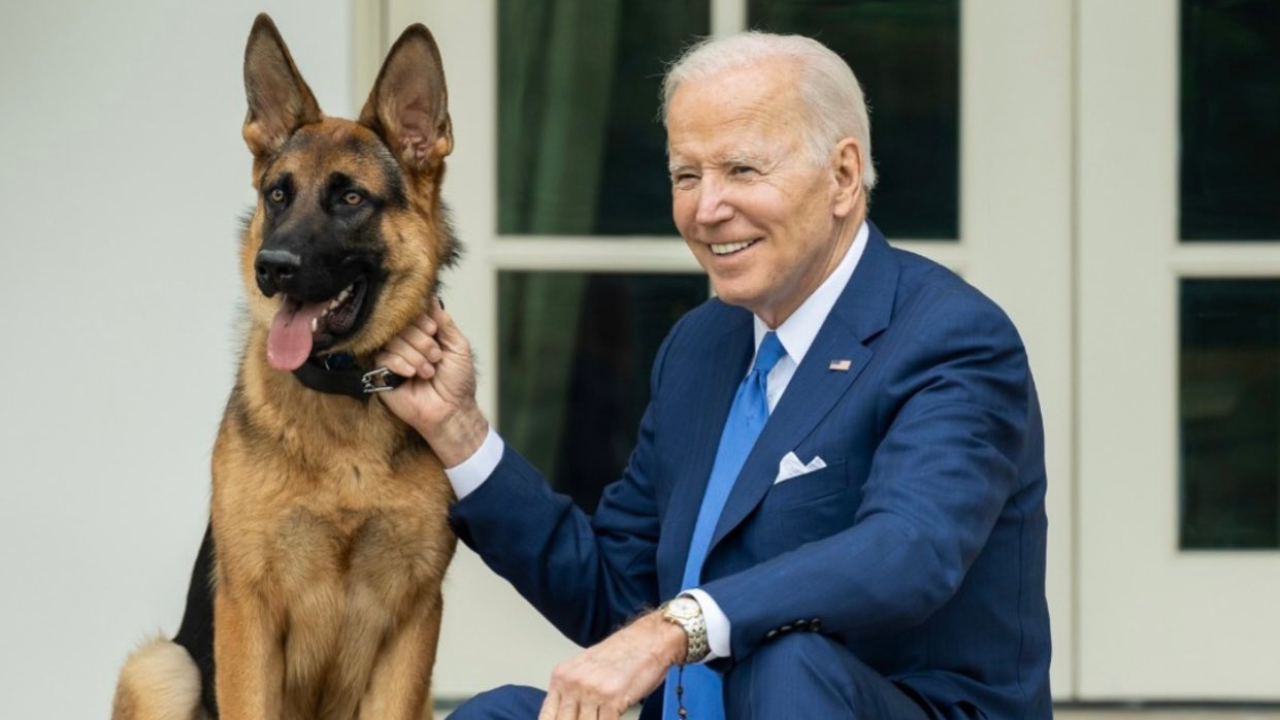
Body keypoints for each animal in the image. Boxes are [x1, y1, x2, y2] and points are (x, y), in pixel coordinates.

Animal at [111, 15, 460, 717]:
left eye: (350, 198)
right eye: (277, 195)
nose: (270, 268)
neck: (345, 395)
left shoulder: (413, 622)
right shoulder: (248, 613)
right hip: (162, 667)